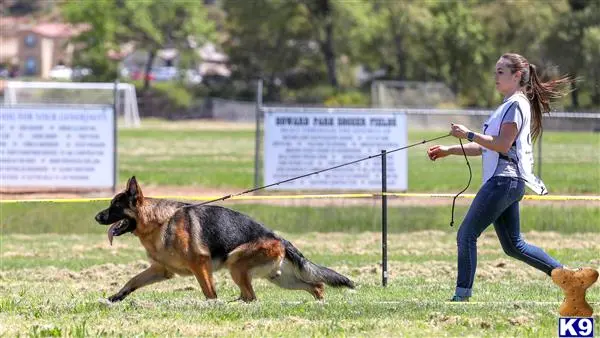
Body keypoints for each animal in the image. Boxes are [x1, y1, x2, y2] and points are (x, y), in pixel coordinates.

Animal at [95, 178, 354, 302]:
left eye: (115, 206)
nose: (97, 217)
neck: (159, 221)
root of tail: (278, 238)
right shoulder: (161, 270)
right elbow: (132, 281)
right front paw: (114, 298)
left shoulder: (200, 265)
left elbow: (209, 292)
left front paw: (211, 306)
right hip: (280, 279)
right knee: (316, 285)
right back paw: (319, 304)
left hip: (236, 263)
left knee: (251, 297)